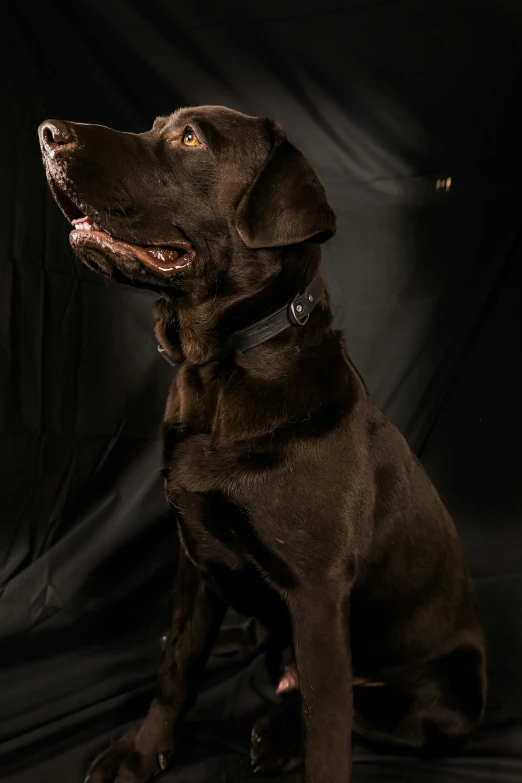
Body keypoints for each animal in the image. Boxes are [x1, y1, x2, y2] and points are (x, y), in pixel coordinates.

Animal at [38, 105, 486, 783]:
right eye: (157, 125)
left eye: (190, 139)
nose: (46, 134)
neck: (223, 368)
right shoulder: (194, 554)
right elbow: (175, 673)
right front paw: (143, 751)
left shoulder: (319, 594)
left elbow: (329, 729)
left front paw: (297, 740)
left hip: (448, 700)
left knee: (362, 707)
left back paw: (279, 731)